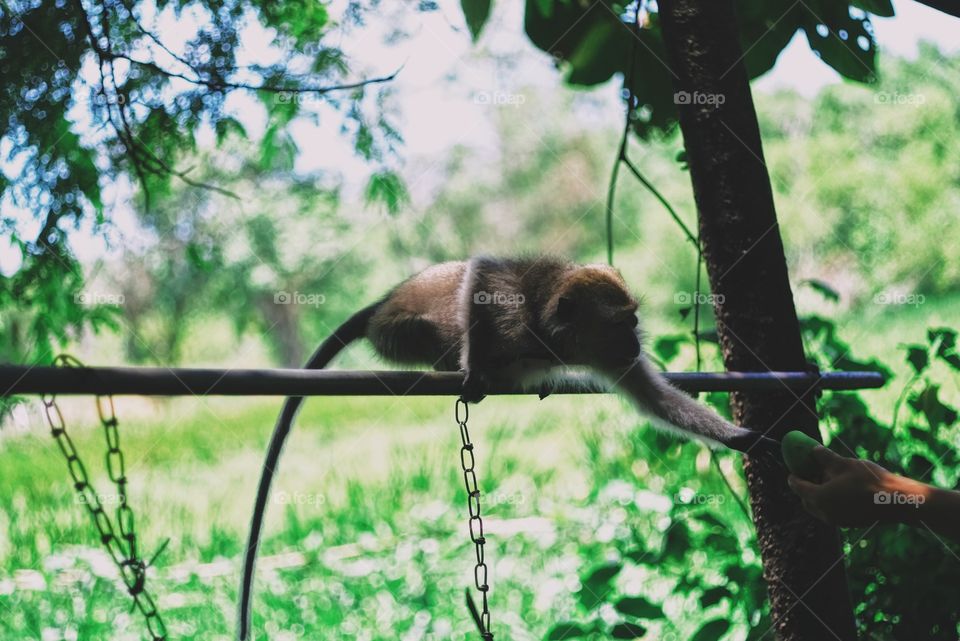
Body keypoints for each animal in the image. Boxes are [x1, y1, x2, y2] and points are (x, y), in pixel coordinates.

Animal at [238, 256, 779, 640]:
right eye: (620, 322)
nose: (635, 341)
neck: (553, 338)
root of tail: (383, 302)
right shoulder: (515, 310)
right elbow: (483, 276)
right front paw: (476, 367)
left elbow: (655, 399)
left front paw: (744, 438)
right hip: (394, 333)